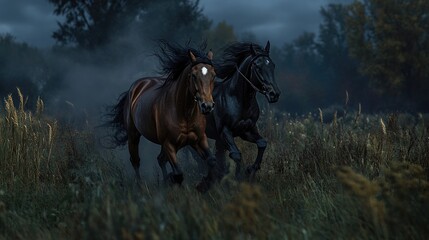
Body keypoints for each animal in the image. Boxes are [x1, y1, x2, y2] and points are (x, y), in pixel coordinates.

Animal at [108, 41, 217, 191]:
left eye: (213, 75)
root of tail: (135, 88)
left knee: (160, 159)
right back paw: (141, 187)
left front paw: (205, 185)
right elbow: (178, 174)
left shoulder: (199, 139)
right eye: (193, 75)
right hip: (133, 135)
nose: (207, 106)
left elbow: (211, 161)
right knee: (136, 161)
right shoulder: (169, 144)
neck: (185, 113)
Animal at [197, 41, 280, 180]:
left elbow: (262, 143)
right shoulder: (225, 131)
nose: (274, 94)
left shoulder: (246, 130)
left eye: (273, 65)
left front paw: (251, 169)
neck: (237, 99)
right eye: (258, 67)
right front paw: (238, 177)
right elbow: (236, 154)